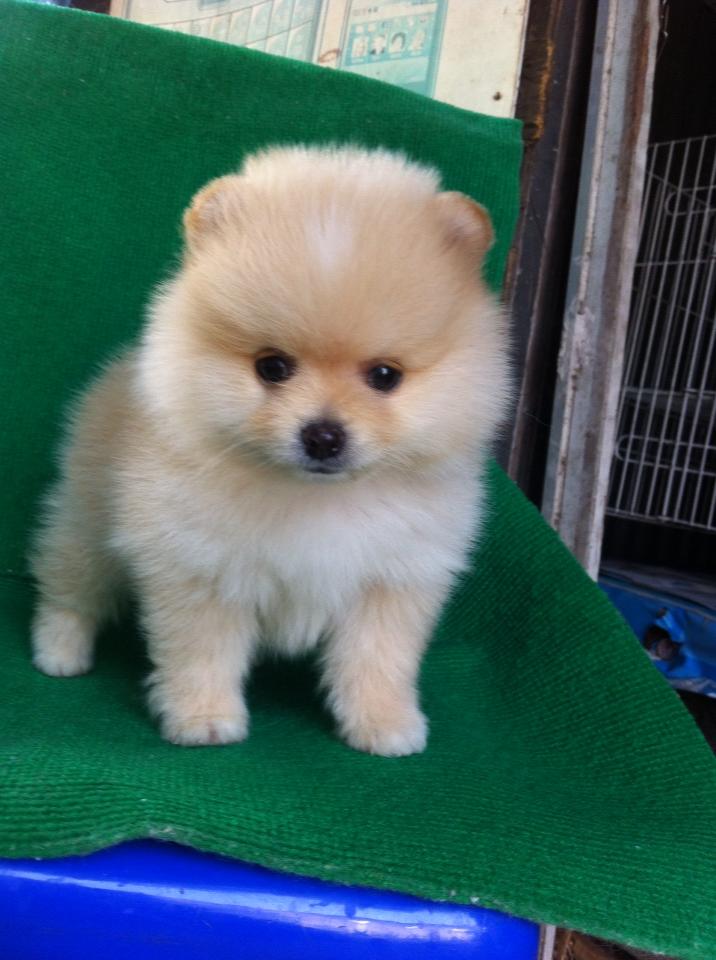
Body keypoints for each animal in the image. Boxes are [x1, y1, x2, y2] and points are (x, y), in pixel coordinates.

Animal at [31, 146, 510, 756]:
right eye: (272, 367)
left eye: (385, 376)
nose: (323, 435)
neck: (317, 499)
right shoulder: (201, 567)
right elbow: (201, 653)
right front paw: (204, 718)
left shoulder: (392, 580)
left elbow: (379, 660)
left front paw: (383, 723)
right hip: (88, 524)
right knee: (69, 582)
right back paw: (59, 649)